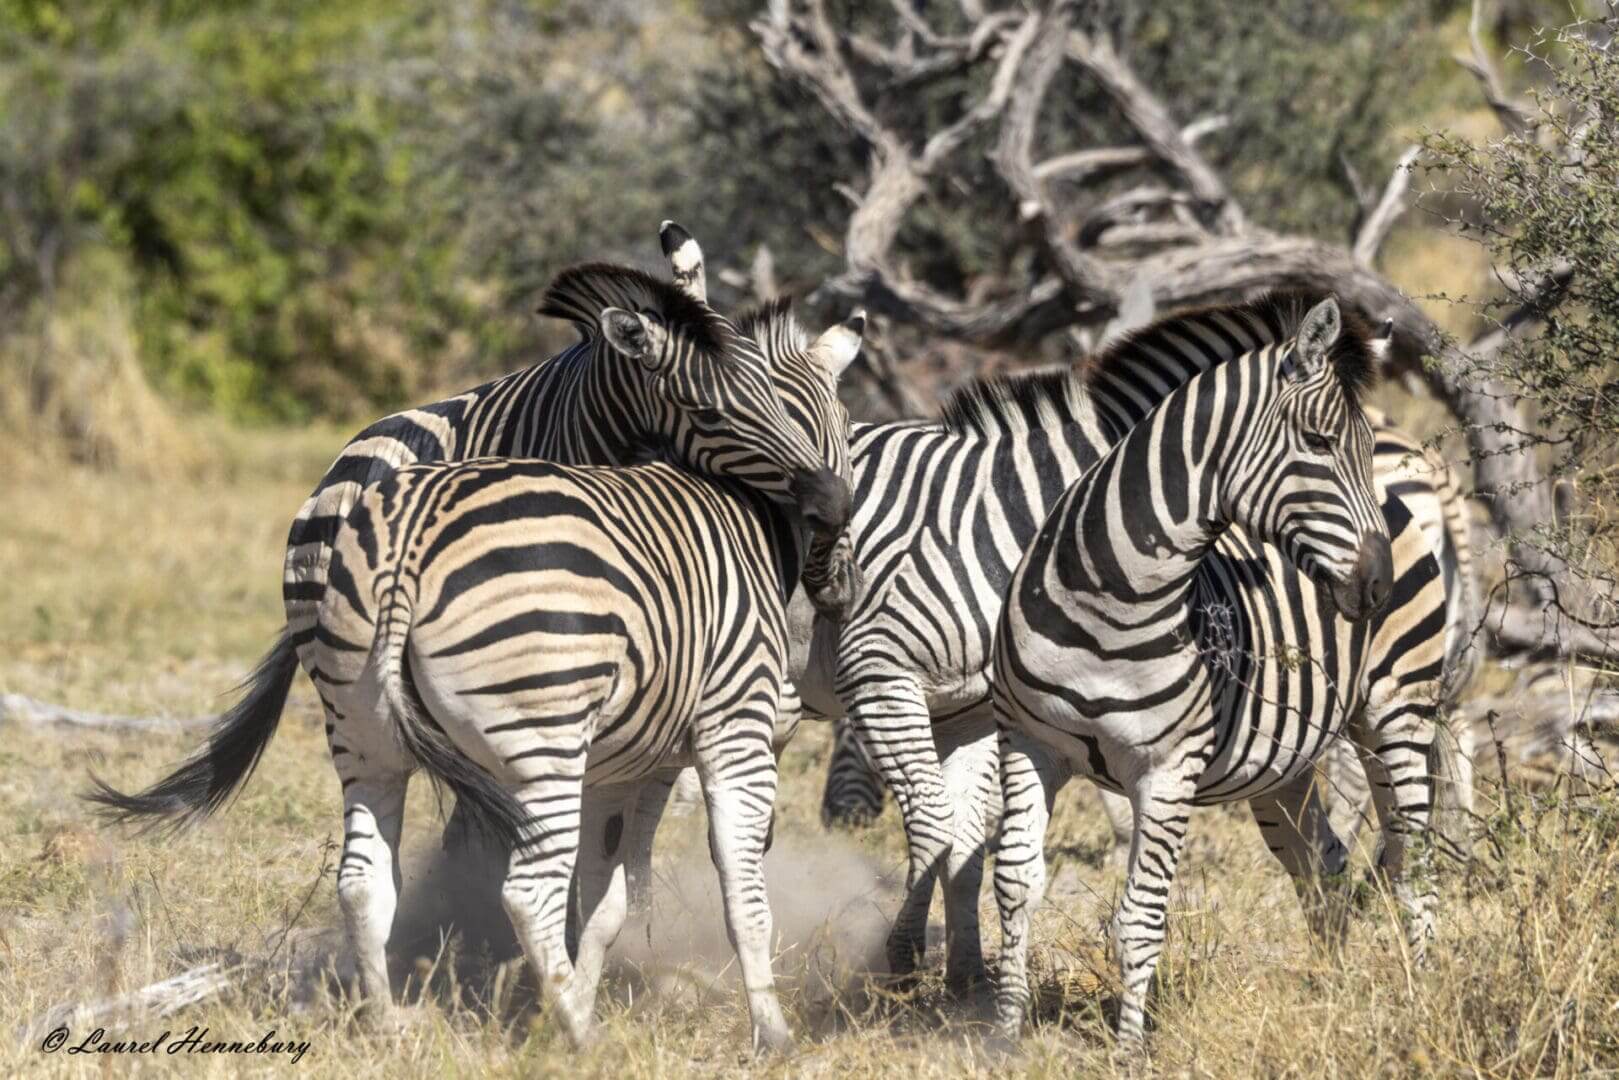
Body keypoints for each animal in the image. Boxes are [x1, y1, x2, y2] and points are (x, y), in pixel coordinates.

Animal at [988, 296, 1456, 1044]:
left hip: (1397, 712)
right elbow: (1014, 884)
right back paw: (1331, 994)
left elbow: (1141, 917)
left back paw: (1424, 999)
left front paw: (1127, 1050)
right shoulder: (1027, 743)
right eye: (1319, 442)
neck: (1108, 595)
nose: (1376, 587)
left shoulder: (1167, 770)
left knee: (1414, 862)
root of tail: (1399, 499)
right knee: (1321, 863)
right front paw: (1003, 1035)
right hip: (1282, 761)